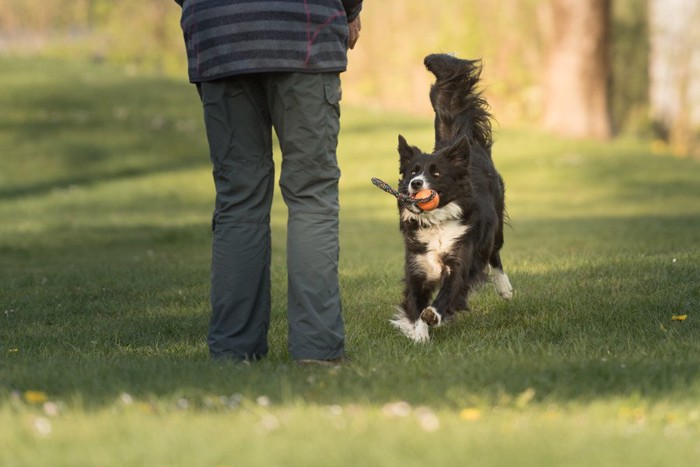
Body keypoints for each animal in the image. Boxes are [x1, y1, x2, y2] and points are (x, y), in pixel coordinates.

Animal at [388, 54, 516, 344]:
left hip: (495, 226)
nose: (415, 184)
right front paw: (419, 336)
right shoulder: (418, 265)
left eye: (435, 173)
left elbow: (449, 290)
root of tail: (461, 139)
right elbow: (415, 302)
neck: (436, 222)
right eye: (412, 172)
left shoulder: (461, 258)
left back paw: (505, 288)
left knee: (494, 254)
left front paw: (434, 315)